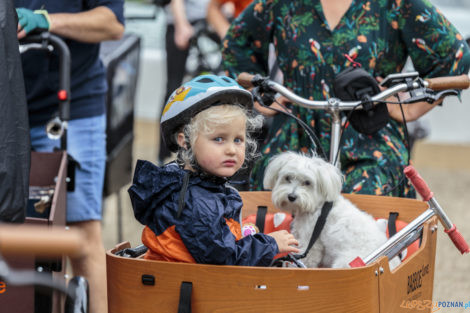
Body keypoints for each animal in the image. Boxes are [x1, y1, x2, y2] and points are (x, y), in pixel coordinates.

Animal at [262, 152, 398, 268]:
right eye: (288, 178)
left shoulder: (310, 242)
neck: (319, 207)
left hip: (347, 262)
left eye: (307, 182)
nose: (291, 197)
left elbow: (306, 260)